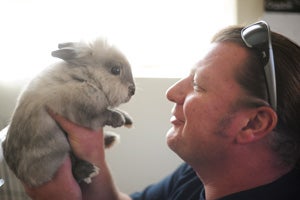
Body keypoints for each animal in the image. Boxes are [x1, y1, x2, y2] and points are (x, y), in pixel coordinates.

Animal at [1, 38, 135, 188]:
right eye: (115, 70)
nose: (133, 90)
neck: (83, 78)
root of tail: (24, 177)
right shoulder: (86, 112)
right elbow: (104, 115)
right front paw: (119, 119)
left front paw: (127, 119)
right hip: (59, 150)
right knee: (73, 165)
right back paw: (89, 170)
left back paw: (110, 139)